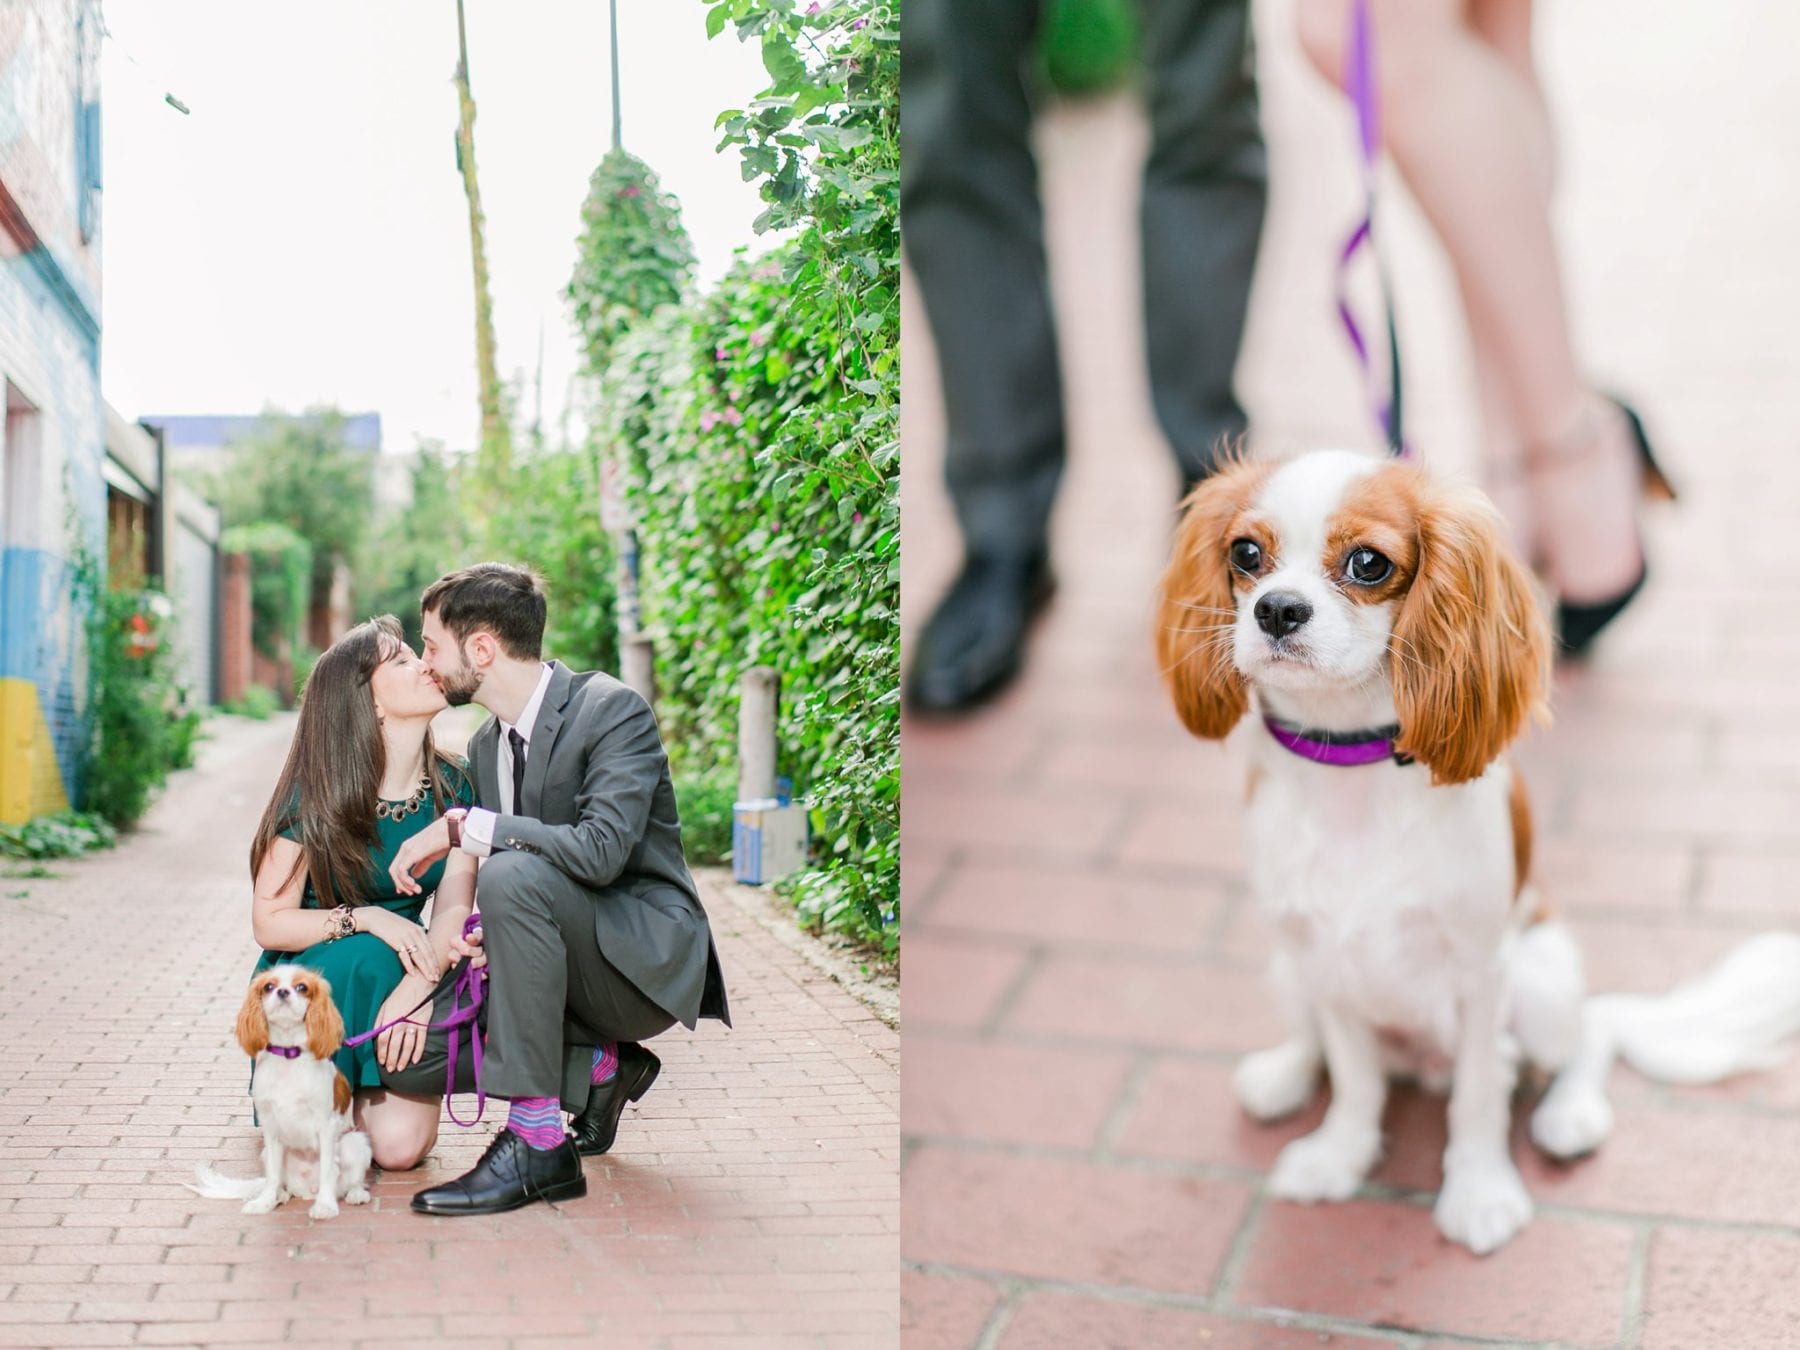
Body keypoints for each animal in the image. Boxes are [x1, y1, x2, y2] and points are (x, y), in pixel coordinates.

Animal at [193, 964, 372, 1224]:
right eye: (269, 986)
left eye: (302, 987)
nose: (283, 992)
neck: (289, 1054)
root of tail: (308, 1191)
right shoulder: (271, 1126)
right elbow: (273, 1175)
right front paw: (265, 1202)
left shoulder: (326, 1125)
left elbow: (328, 1169)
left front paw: (325, 1206)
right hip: (267, 1153)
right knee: (280, 1181)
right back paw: (280, 1195)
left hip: (355, 1142)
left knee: (354, 1180)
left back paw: (355, 1194)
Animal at [1159, 450, 1800, 1252]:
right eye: (1246, 554)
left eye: (1368, 563)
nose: (1276, 608)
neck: (1350, 767)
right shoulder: (1321, 958)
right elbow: (1356, 1078)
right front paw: (1340, 1156)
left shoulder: (1480, 972)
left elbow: (1476, 1096)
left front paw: (1479, 1191)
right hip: (1288, 972)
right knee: (1325, 1045)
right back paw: (1282, 1076)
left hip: (1540, 985)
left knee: (1587, 1034)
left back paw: (1569, 1115)